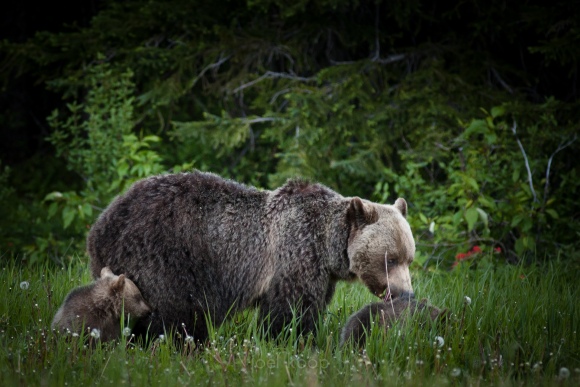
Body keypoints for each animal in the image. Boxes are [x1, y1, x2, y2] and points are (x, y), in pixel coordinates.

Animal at [87, 171, 416, 342]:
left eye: (409, 258)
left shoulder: (321, 274)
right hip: (163, 255)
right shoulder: (295, 254)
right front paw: (290, 341)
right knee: (174, 311)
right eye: (390, 259)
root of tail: (100, 227)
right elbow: (289, 312)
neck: (328, 245)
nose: (406, 292)